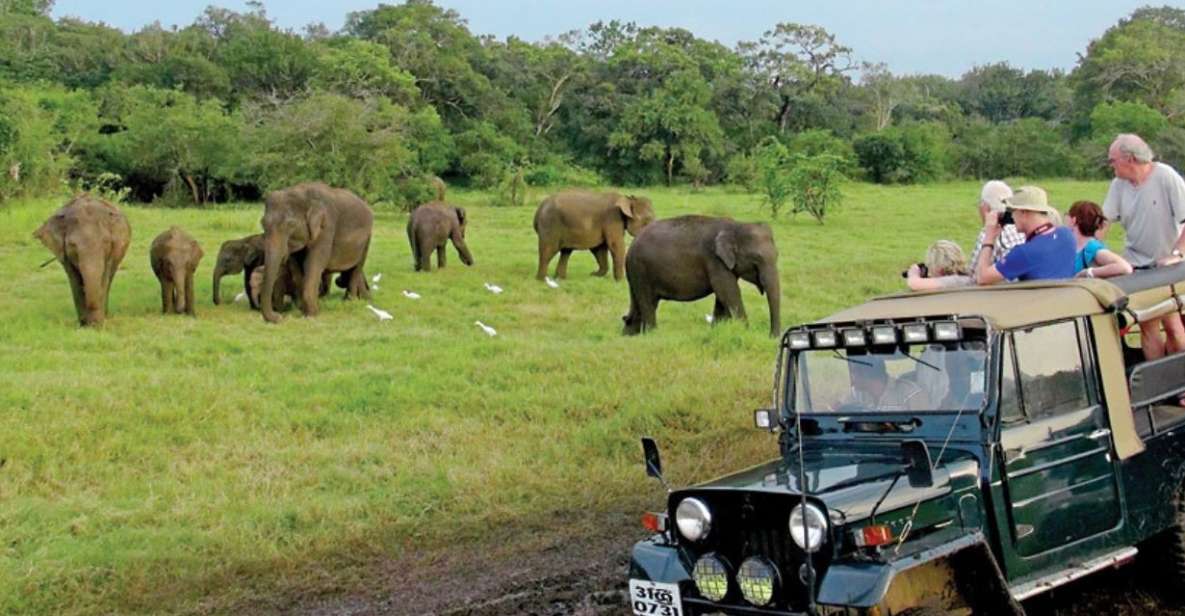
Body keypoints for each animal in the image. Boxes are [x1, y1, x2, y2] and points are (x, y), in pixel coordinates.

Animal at [33, 196, 130, 326]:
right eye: (72, 245)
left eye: (106, 242)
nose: (90, 322)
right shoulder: (64, 255)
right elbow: (74, 280)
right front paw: (84, 325)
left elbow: (103, 278)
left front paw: (97, 325)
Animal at [260, 181, 372, 322]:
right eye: (262, 223)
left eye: (291, 224)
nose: (279, 317)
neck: (303, 193)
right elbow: (296, 267)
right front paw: (301, 309)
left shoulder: (326, 226)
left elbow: (314, 264)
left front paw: (311, 315)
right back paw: (365, 298)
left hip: (367, 239)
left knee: (357, 267)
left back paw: (350, 301)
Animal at [625, 215, 782, 336]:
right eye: (757, 259)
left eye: (777, 256)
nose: (772, 337)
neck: (736, 225)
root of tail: (630, 248)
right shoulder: (715, 260)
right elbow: (729, 292)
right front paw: (746, 332)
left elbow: (722, 297)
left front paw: (717, 331)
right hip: (641, 269)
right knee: (647, 302)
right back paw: (652, 334)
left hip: (637, 272)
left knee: (640, 302)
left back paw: (631, 334)